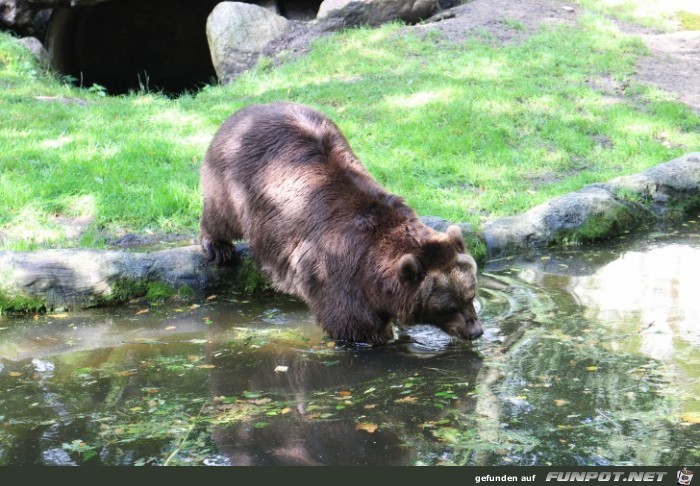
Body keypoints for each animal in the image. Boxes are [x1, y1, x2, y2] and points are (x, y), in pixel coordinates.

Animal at [200, 102, 484, 344]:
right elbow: (353, 324)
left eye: (470, 295)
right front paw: (382, 337)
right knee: (220, 215)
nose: (476, 331)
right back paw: (217, 247)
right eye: (449, 307)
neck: (373, 269)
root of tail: (245, 110)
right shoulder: (338, 273)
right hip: (236, 181)